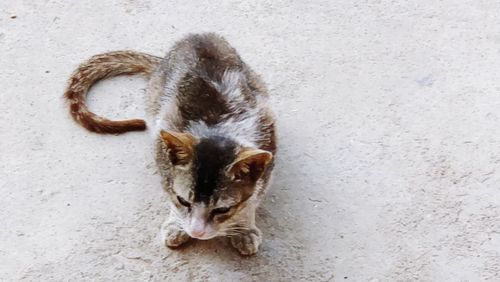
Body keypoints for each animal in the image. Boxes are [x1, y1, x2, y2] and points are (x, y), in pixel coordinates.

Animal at [63, 33, 278, 256]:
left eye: (222, 210)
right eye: (183, 200)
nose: (197, 232)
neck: (217, 128)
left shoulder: (267, 137)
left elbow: (253, 198)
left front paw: (244, 229)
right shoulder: (162, 142)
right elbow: (169, 191)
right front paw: (177, 225)